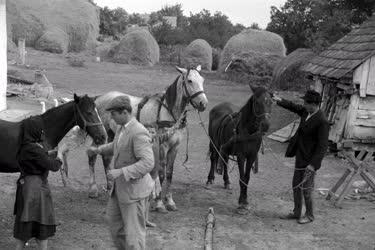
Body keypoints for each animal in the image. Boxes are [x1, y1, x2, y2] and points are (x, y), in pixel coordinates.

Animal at [85, 65, 210, 212]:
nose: (203, 103)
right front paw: (159, 202)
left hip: (111, 134)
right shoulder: (162, 146)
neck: (168, 112)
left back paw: (110, 186)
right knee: (92, 156)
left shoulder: (175, 147)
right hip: (100, 135)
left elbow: (169, 173)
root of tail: (100, 98)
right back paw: (93, 190)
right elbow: (161, 174)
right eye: (190, 81)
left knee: (106, 158)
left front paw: (170, 201)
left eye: (202, 80)